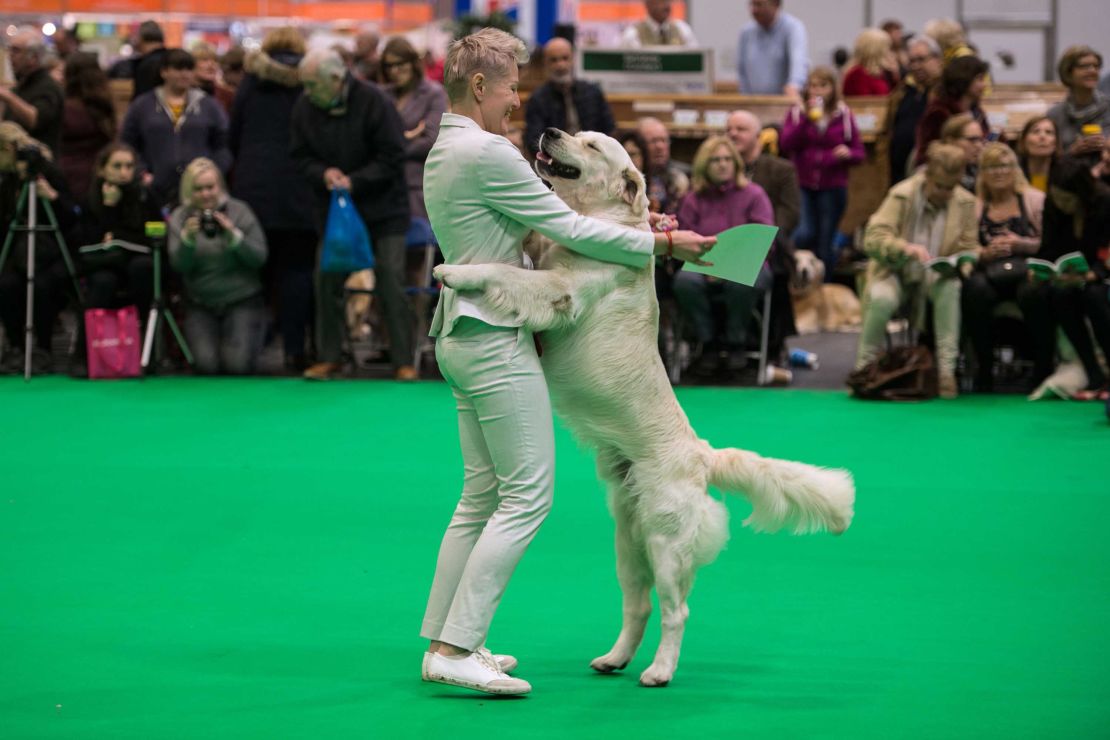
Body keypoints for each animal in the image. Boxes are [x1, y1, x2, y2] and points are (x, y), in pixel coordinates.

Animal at [432, 128, 856, 687]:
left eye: (591, 145)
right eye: (577, 134)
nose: (549, 131)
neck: (599, 219)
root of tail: (701, 454)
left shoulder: (559, 290)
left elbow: (508, 273)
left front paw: (455, 270)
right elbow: (526, 253)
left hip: (665, 540)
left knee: (676, 611)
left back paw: (659, 670)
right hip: (628, 543)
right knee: (639, 606)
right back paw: (614, 658)